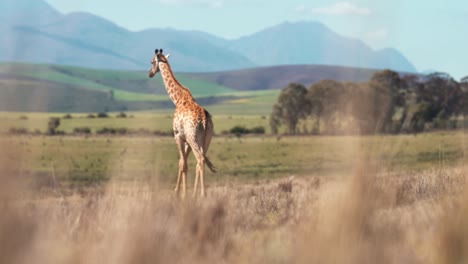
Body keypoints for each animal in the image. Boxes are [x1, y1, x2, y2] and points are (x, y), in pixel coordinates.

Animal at [149, 48, 217, 197]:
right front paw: (181, 192)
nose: (150, 73)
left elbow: (183, 164)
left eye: (151, 62)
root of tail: (204, 119)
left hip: (193, 137)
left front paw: (182, 194)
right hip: (206, 139)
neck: (178, 99)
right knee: (200, 161)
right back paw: (198, 193)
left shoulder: (178, 135)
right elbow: (182, 162)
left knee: (200, 159)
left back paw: (203, 194)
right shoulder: (186, 140)